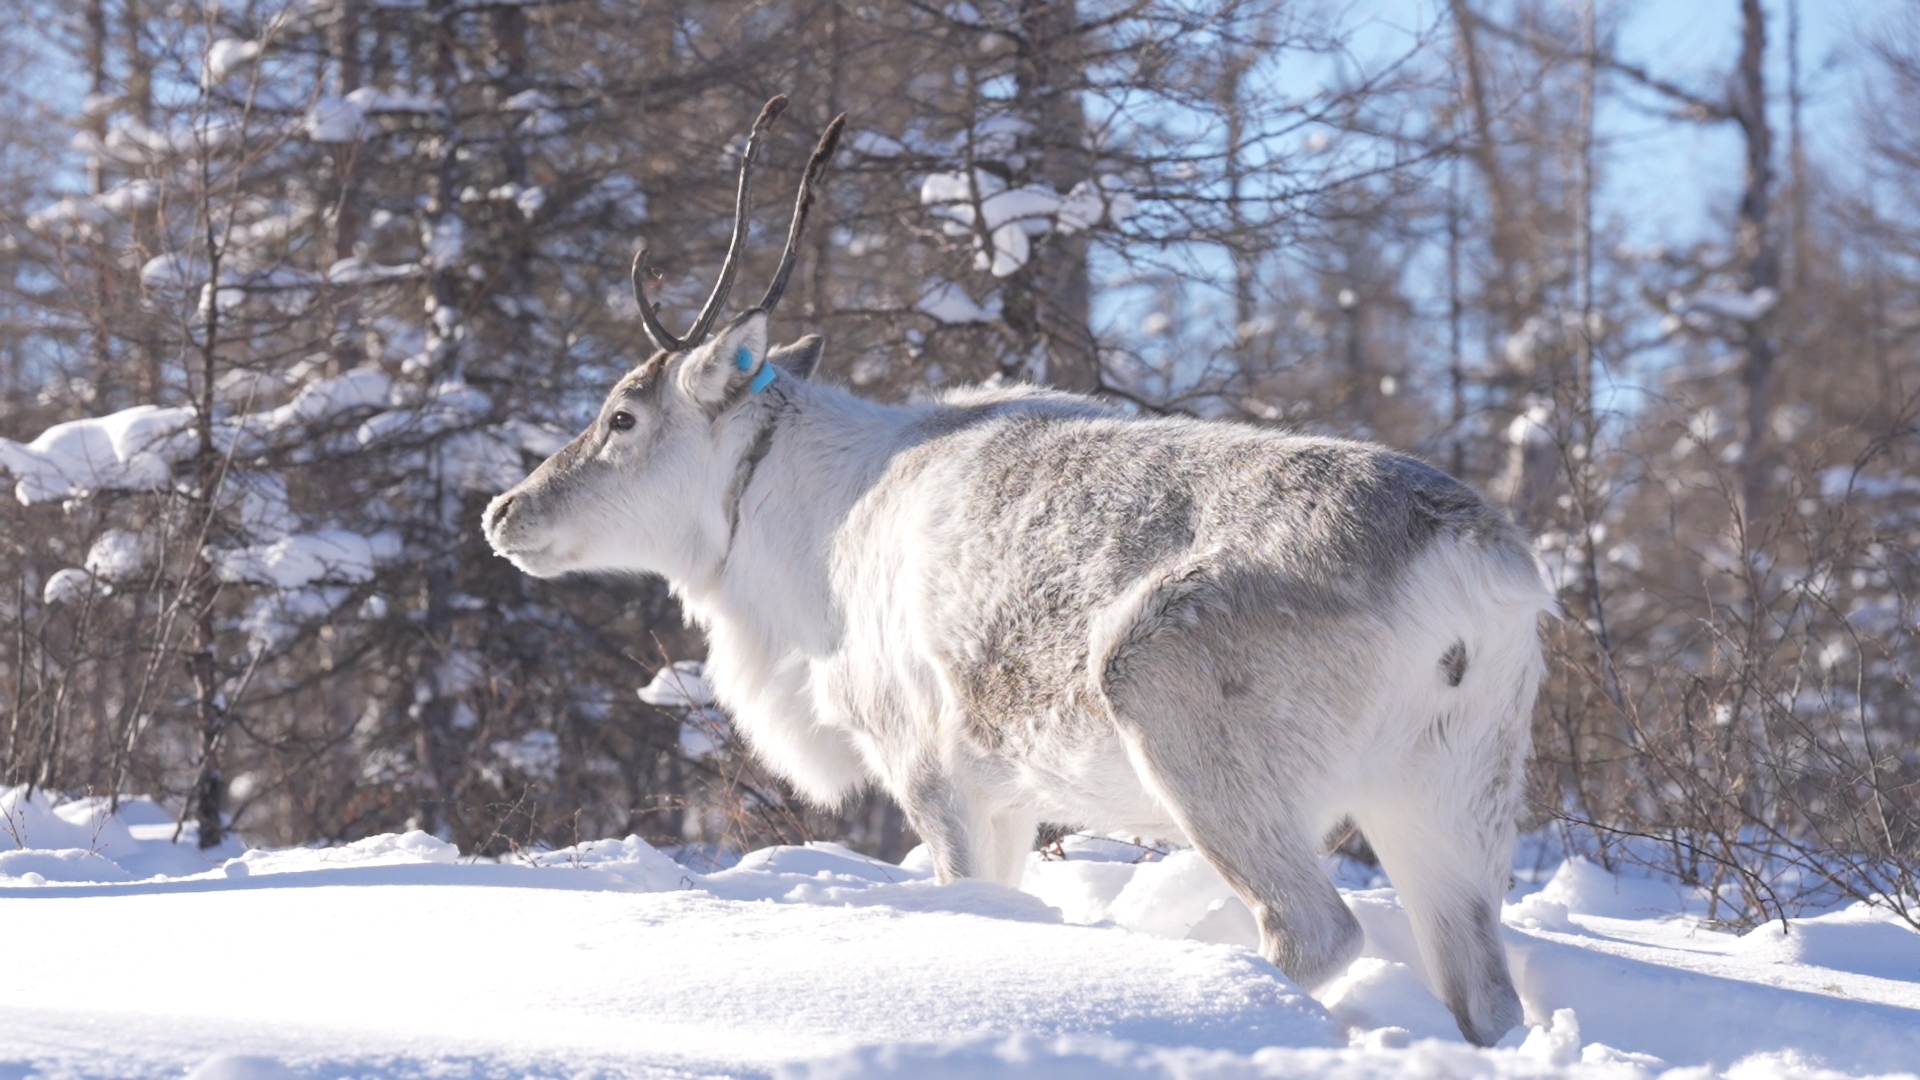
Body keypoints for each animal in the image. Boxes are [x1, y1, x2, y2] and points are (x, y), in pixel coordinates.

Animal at [482, 96, 1553, 1047]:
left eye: (622, 417)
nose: (504, 511)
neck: (800, 549)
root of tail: (1479, 563)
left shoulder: (928, 762)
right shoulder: (1013, 794)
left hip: (1189, 724)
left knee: (1316, 930)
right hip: (1450, 786)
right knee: (1486, 992)